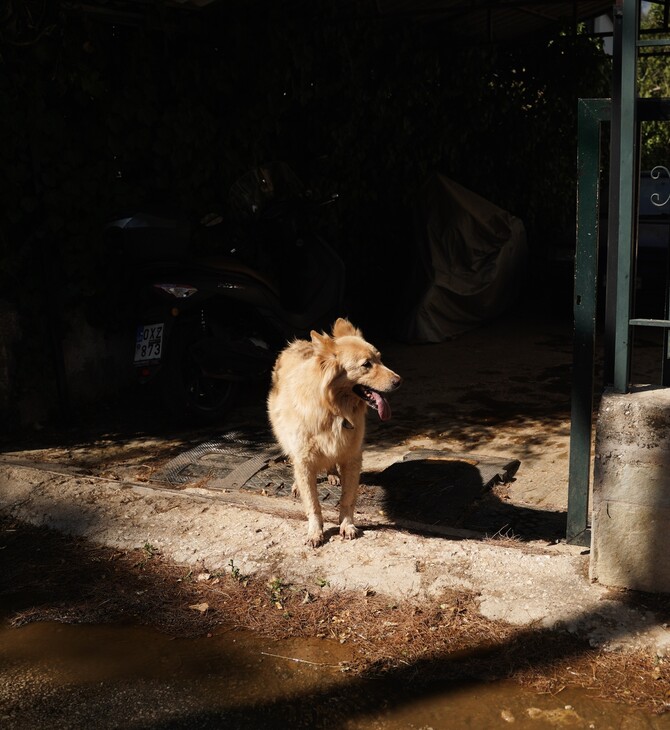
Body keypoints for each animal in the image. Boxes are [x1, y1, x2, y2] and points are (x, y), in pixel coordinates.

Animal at [270, 318, 404, 544]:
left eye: (379, 358)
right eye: (366, 364)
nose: (399, 381)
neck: (334, 410)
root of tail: (297, 343)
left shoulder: (351, 457)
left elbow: (347, 498)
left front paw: (347, 525)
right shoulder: (305, 460)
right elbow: (313, 503)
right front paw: (315, 531)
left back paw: (332, 474)